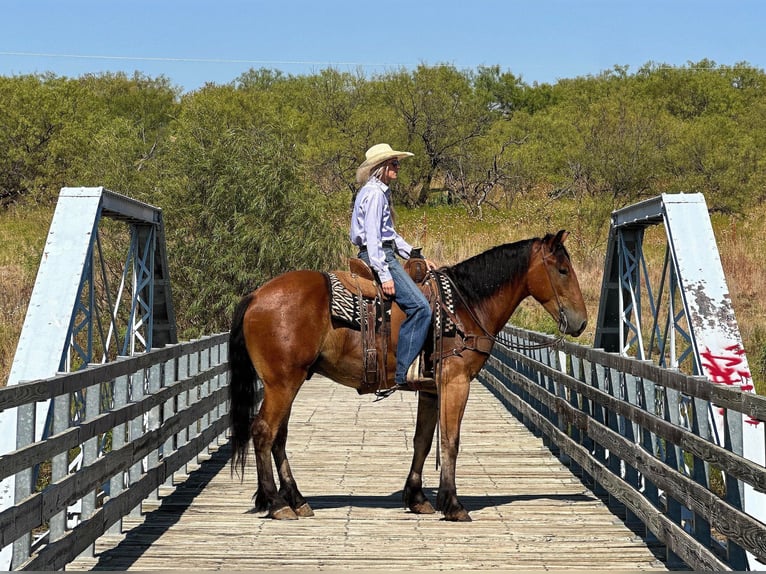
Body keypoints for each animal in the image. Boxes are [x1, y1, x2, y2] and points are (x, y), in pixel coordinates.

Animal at [228, 230, 588, 520]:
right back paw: (277, 504)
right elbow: (450, 441)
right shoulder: (456, 383)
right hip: (282, 384)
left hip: (290, 382)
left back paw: (296, 499)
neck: (465, 307)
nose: (581, 322)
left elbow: (423, 441)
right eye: (562, 270)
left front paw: (417, 498)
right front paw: (453, 504)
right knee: (263, 432)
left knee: (279, 437)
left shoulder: (431, 389)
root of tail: (257, 295)